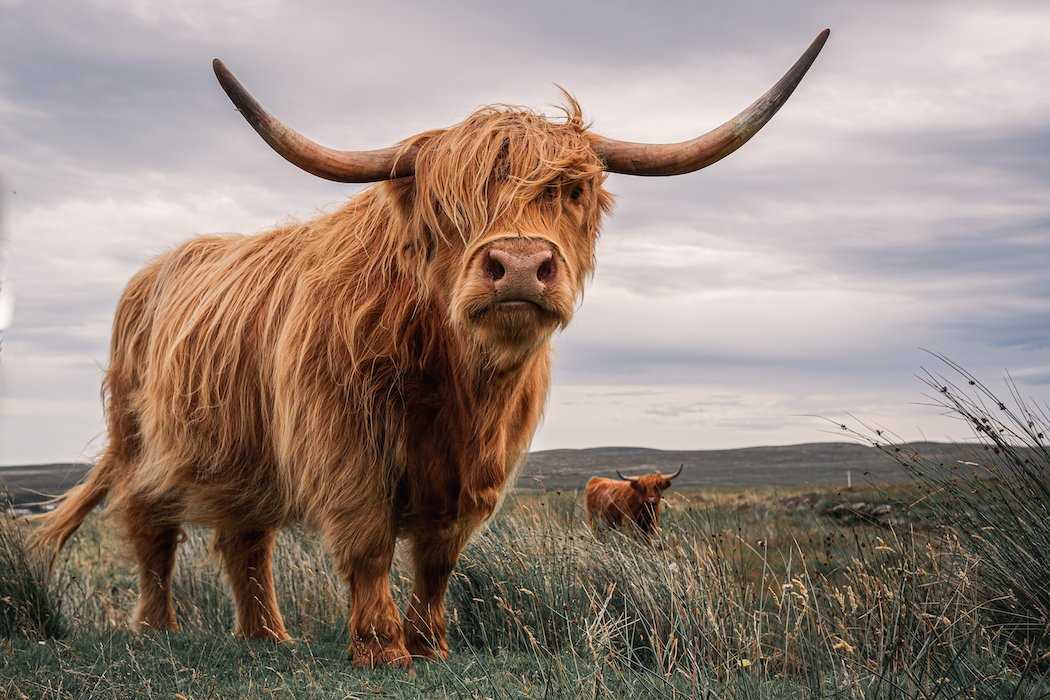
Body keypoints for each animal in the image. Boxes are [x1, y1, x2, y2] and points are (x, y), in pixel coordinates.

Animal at [31, 30, 829, 669]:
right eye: (449, 206)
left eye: (572, 191)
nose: (517, 264)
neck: (456, 385)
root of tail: (153, 271)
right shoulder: (344, 448)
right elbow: (369, 544)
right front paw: (383, 650)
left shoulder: (477, 473)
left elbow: (439, 558)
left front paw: (431, 644)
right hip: (141, 442)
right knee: (152, 531)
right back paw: (158, 628)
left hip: (243, 452)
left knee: (243, 540)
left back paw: (266, 636)